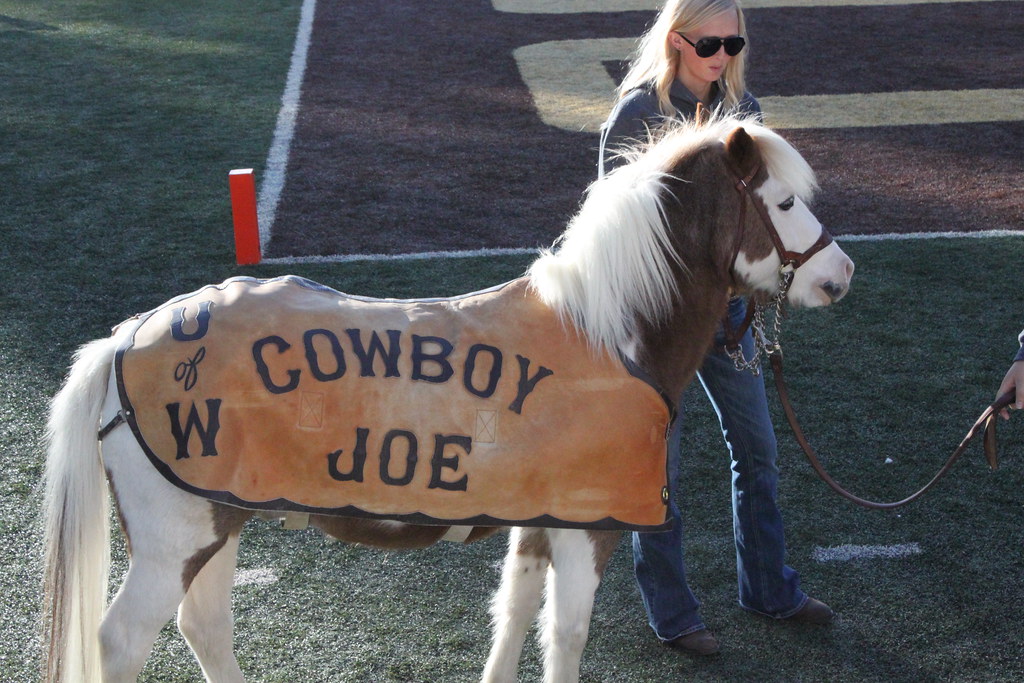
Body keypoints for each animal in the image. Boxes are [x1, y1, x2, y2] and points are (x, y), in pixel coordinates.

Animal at [41, 116, 854, 682]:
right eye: (783, 201)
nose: (840, 272)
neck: (608, 334)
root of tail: (125, 341)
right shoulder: (587, 530)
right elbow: (565, 637)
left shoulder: (538, 524)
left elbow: (514, 616)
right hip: (174, 537)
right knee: (122, 640)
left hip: (219, 517)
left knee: (203, 625)